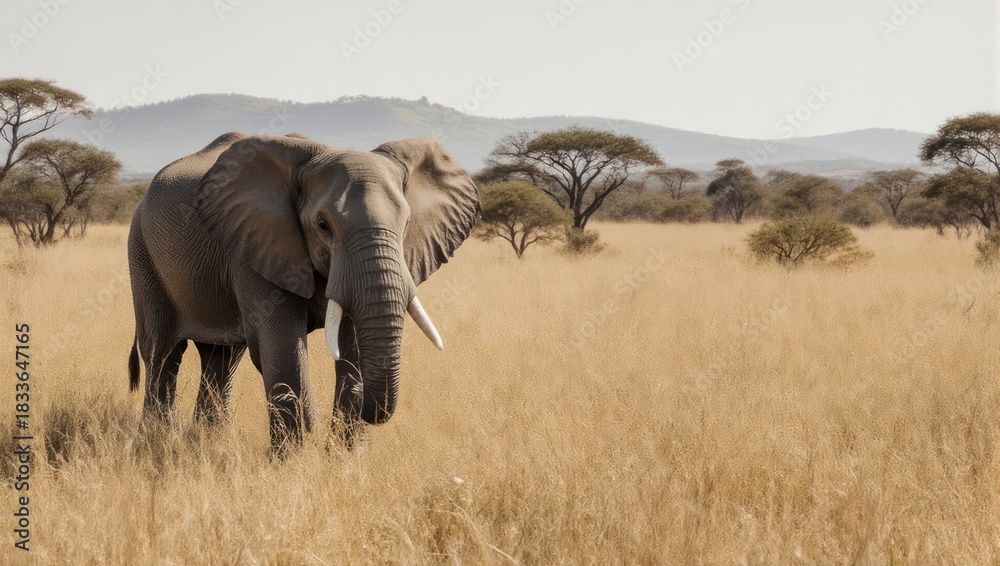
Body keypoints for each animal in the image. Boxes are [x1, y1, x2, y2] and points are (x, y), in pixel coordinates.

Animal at [126, 132, 480, 448]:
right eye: (323, 226)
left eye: (406, 224)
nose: (365, 399)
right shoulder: (254, 245)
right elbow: (282, 345)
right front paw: (293, 461)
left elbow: (352, 342)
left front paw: (346, 461)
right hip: (141, 251)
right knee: (162, 353)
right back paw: (159, 443)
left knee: (223, 359)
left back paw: (209, 442)